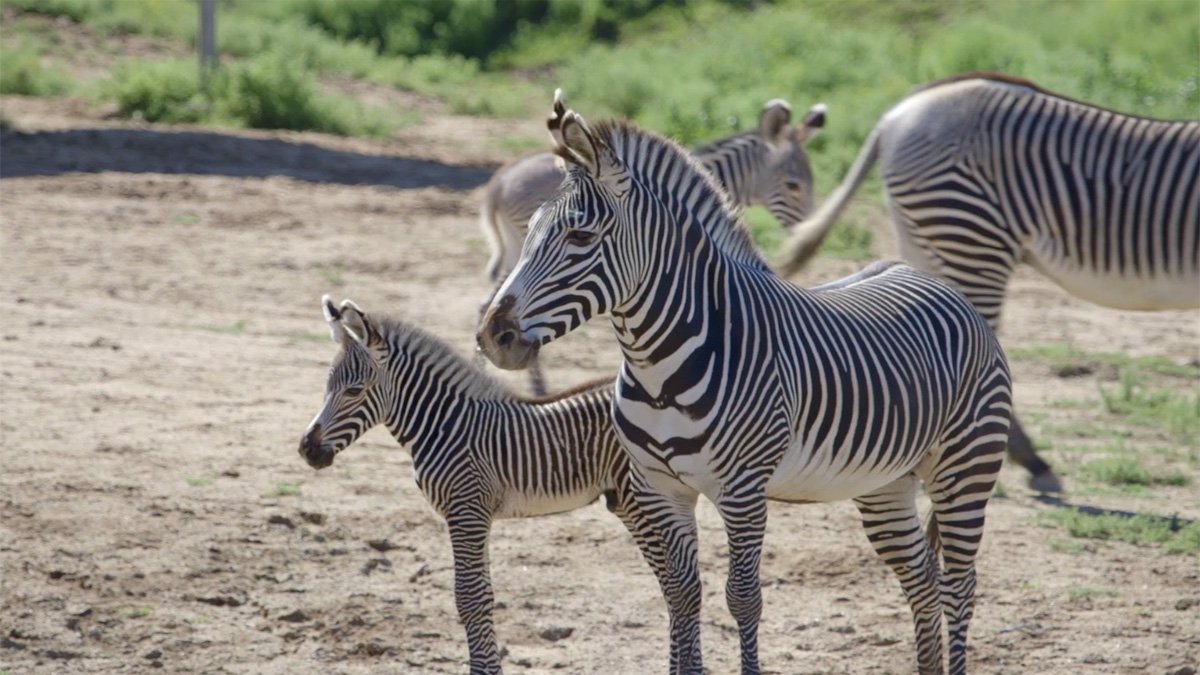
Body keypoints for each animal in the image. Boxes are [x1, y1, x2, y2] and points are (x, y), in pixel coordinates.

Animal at [299, 296, 666, 675]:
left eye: (354, 390)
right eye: (327, 386)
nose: (307, 449)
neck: (444, 425)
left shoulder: (467, 510)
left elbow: (470, 598)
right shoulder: (472, 513)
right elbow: (482, 594)